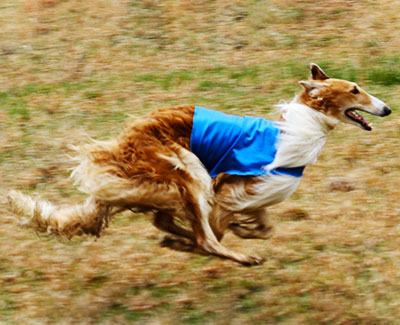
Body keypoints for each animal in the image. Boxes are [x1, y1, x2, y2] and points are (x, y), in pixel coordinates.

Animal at [7, 64, 392, 266]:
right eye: (355, 90)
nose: (387, 108)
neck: (299, 128)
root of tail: (120, 146)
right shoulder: (227, 191)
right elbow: (217, 230)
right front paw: (224, 239)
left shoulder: (255, 198)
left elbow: (265, 228)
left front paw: (244, 230)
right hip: (188, 170)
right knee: (203, 237)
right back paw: (231, 255)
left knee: (164, 221)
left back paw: (179, 238)